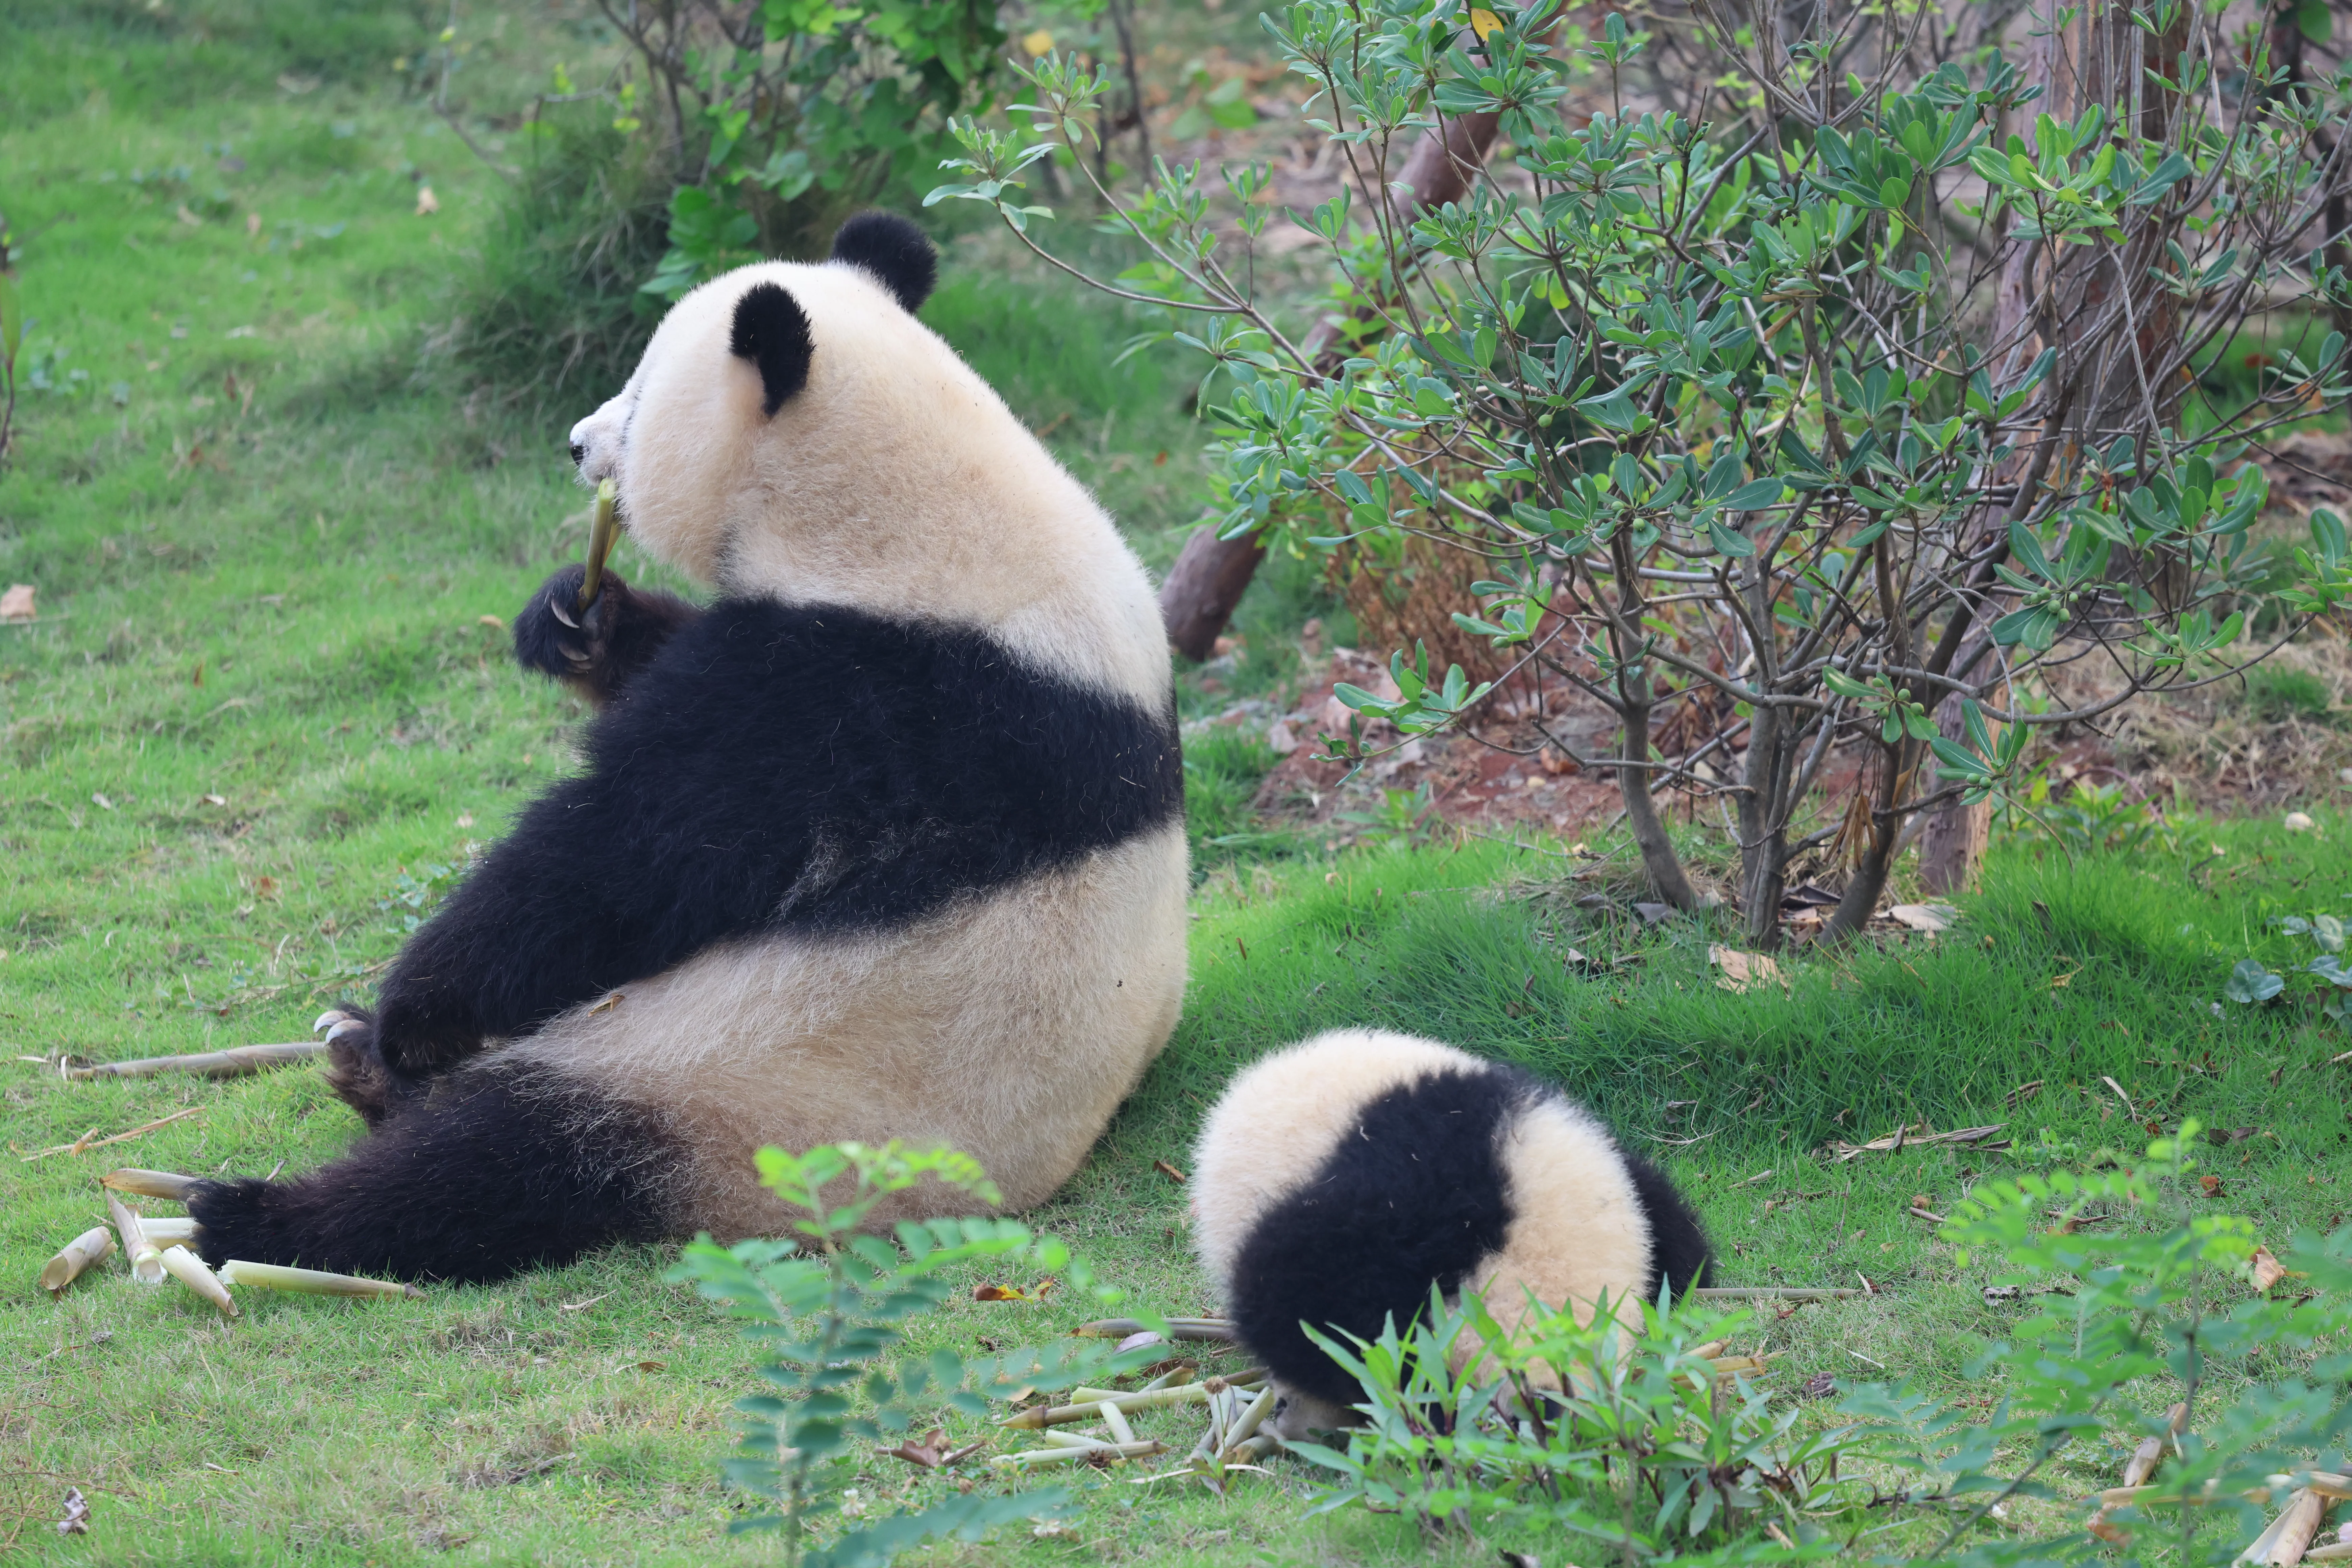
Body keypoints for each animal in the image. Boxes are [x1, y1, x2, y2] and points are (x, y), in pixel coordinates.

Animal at [188, 213, 1190, 1282]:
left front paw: (415, 1009)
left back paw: (262, 1207)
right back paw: (351, 1065)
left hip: (730, 1093)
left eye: (636, 396)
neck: (922, 502)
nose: (576, 443)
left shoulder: (876, 702)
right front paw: (578, 619)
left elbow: (630, 859)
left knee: (507, 1161)